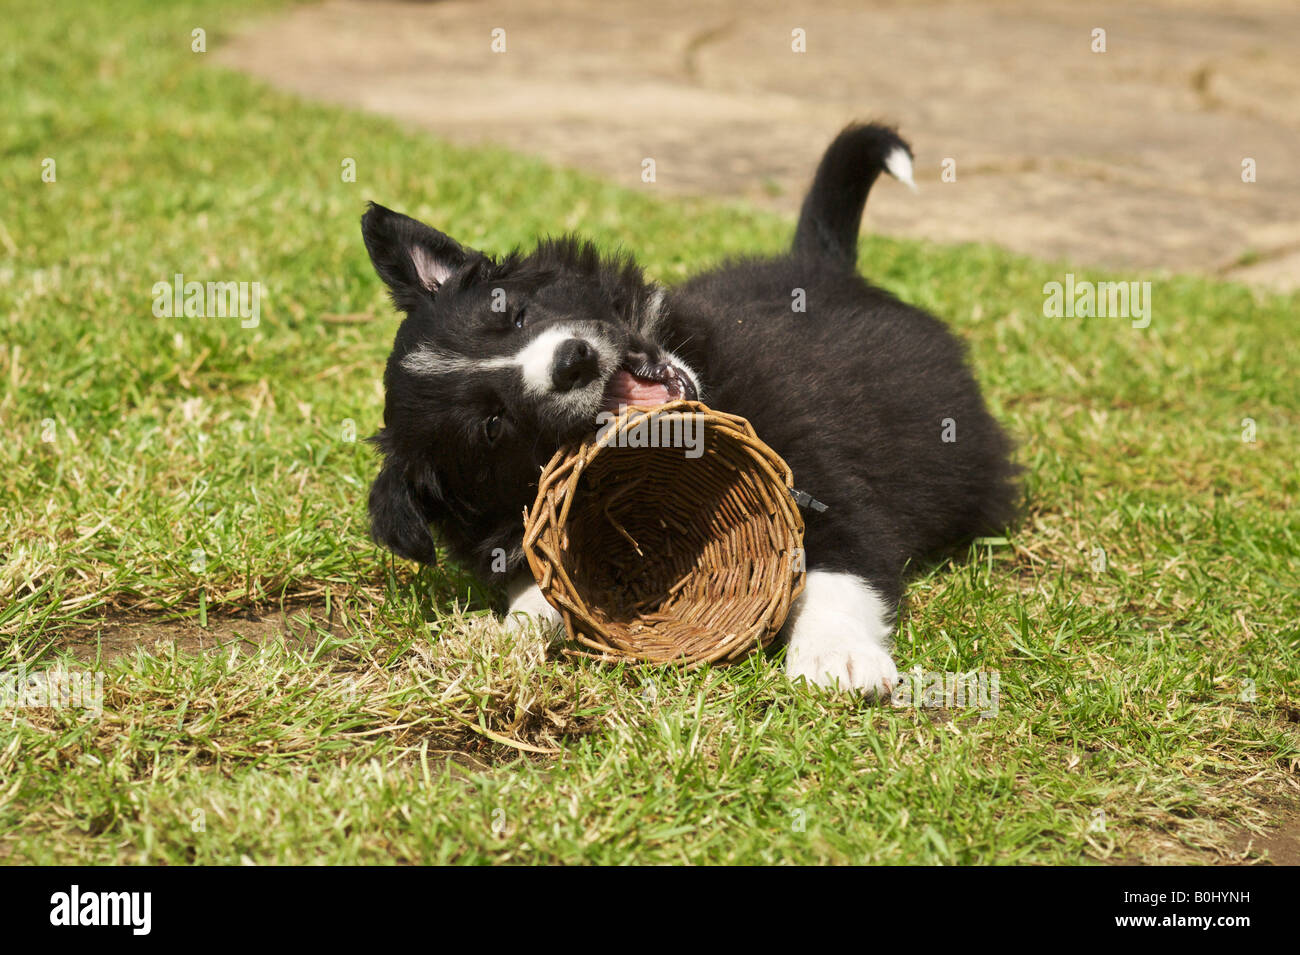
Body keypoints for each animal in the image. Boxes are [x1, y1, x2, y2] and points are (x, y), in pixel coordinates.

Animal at [361, 125, 1019, 696]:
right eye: (492, 424)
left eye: (512, 314)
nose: (572, 362)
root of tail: (824, 265)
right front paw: (516, 629)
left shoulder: (825, 477)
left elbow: (840, 562)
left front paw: (837, 656)